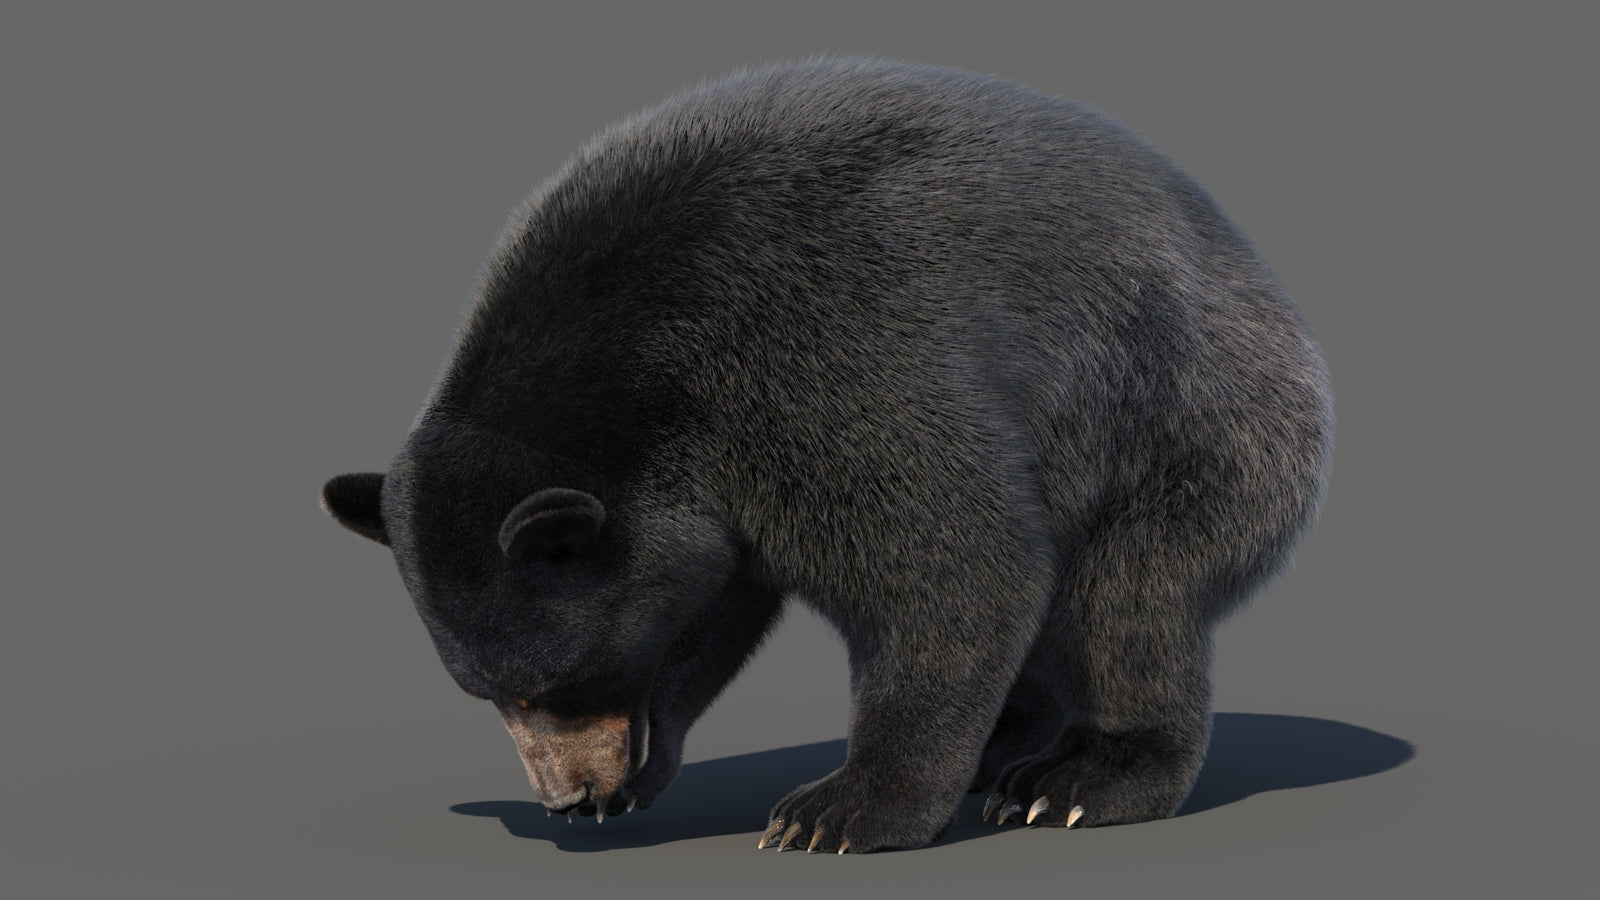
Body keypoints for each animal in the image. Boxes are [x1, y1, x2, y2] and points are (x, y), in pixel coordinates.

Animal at [321, 57, 1333, 854]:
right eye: (484, 690)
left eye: (556, 684)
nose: (568, 797)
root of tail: (1267, 284)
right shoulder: (706, 487)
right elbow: (709, 603)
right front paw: (643, 774)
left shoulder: (824, 358)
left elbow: (957, 562)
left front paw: (840, 809)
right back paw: (1008, 747)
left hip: (1186, 420)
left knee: (1128, 597)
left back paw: (1078, 779)